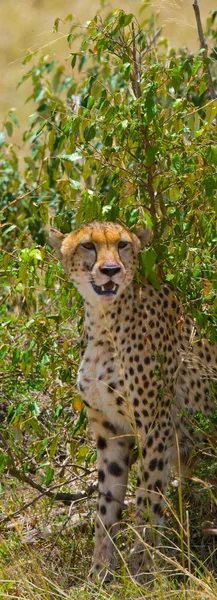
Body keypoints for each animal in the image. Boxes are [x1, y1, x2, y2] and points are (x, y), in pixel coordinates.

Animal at [49, 223, 217, 580]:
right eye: (88, 245)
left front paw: (144, 569)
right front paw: (99, 574)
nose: (111, 270)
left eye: (123, 245)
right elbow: (106, 505)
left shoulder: (155, 426)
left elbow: (147, 501)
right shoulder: (110, 431)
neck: (103, 321)